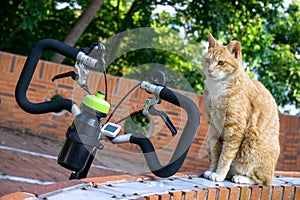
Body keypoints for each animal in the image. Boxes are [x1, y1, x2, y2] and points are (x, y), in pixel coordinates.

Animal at [203, 32, 280, 184]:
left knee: (263, 180)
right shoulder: (214, 128)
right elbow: (216, 153)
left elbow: (225, 156)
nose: (209, 70)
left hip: (254, 142)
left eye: (221, 63)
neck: (217, 90)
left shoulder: (234, 129)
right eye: (208, 60)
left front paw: (219, 174)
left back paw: (240, 177)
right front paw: (212, 170)